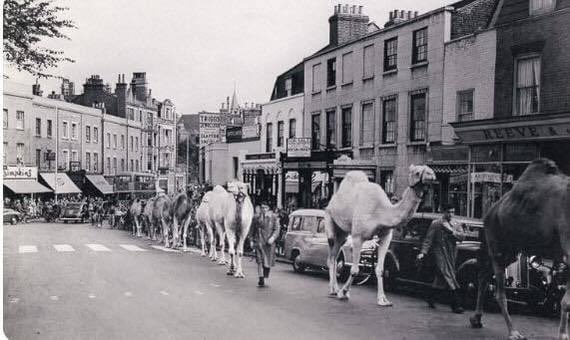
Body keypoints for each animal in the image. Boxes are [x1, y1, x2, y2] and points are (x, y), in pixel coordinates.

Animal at [324, 165, 434, 306]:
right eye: (417, 172)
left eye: (428, 169)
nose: (432, 175)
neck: (381, 212)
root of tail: (332, 200)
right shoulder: (358, 236)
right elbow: (354, 270)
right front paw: (343, 292)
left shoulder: (385, 237)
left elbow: (380, 269)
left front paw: (383, 299)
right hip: (329, 218)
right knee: (331, 253)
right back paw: (334, 290)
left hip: (343, 233)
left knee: (335, 252)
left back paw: (335, 289)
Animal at [466, 159, 568, 340]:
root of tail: (488, 213)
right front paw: (563, 334)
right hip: (497, 244)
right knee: (499, 291)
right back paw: (513, 332)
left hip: (510, 251)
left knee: (484, 275)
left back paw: (476, 319)